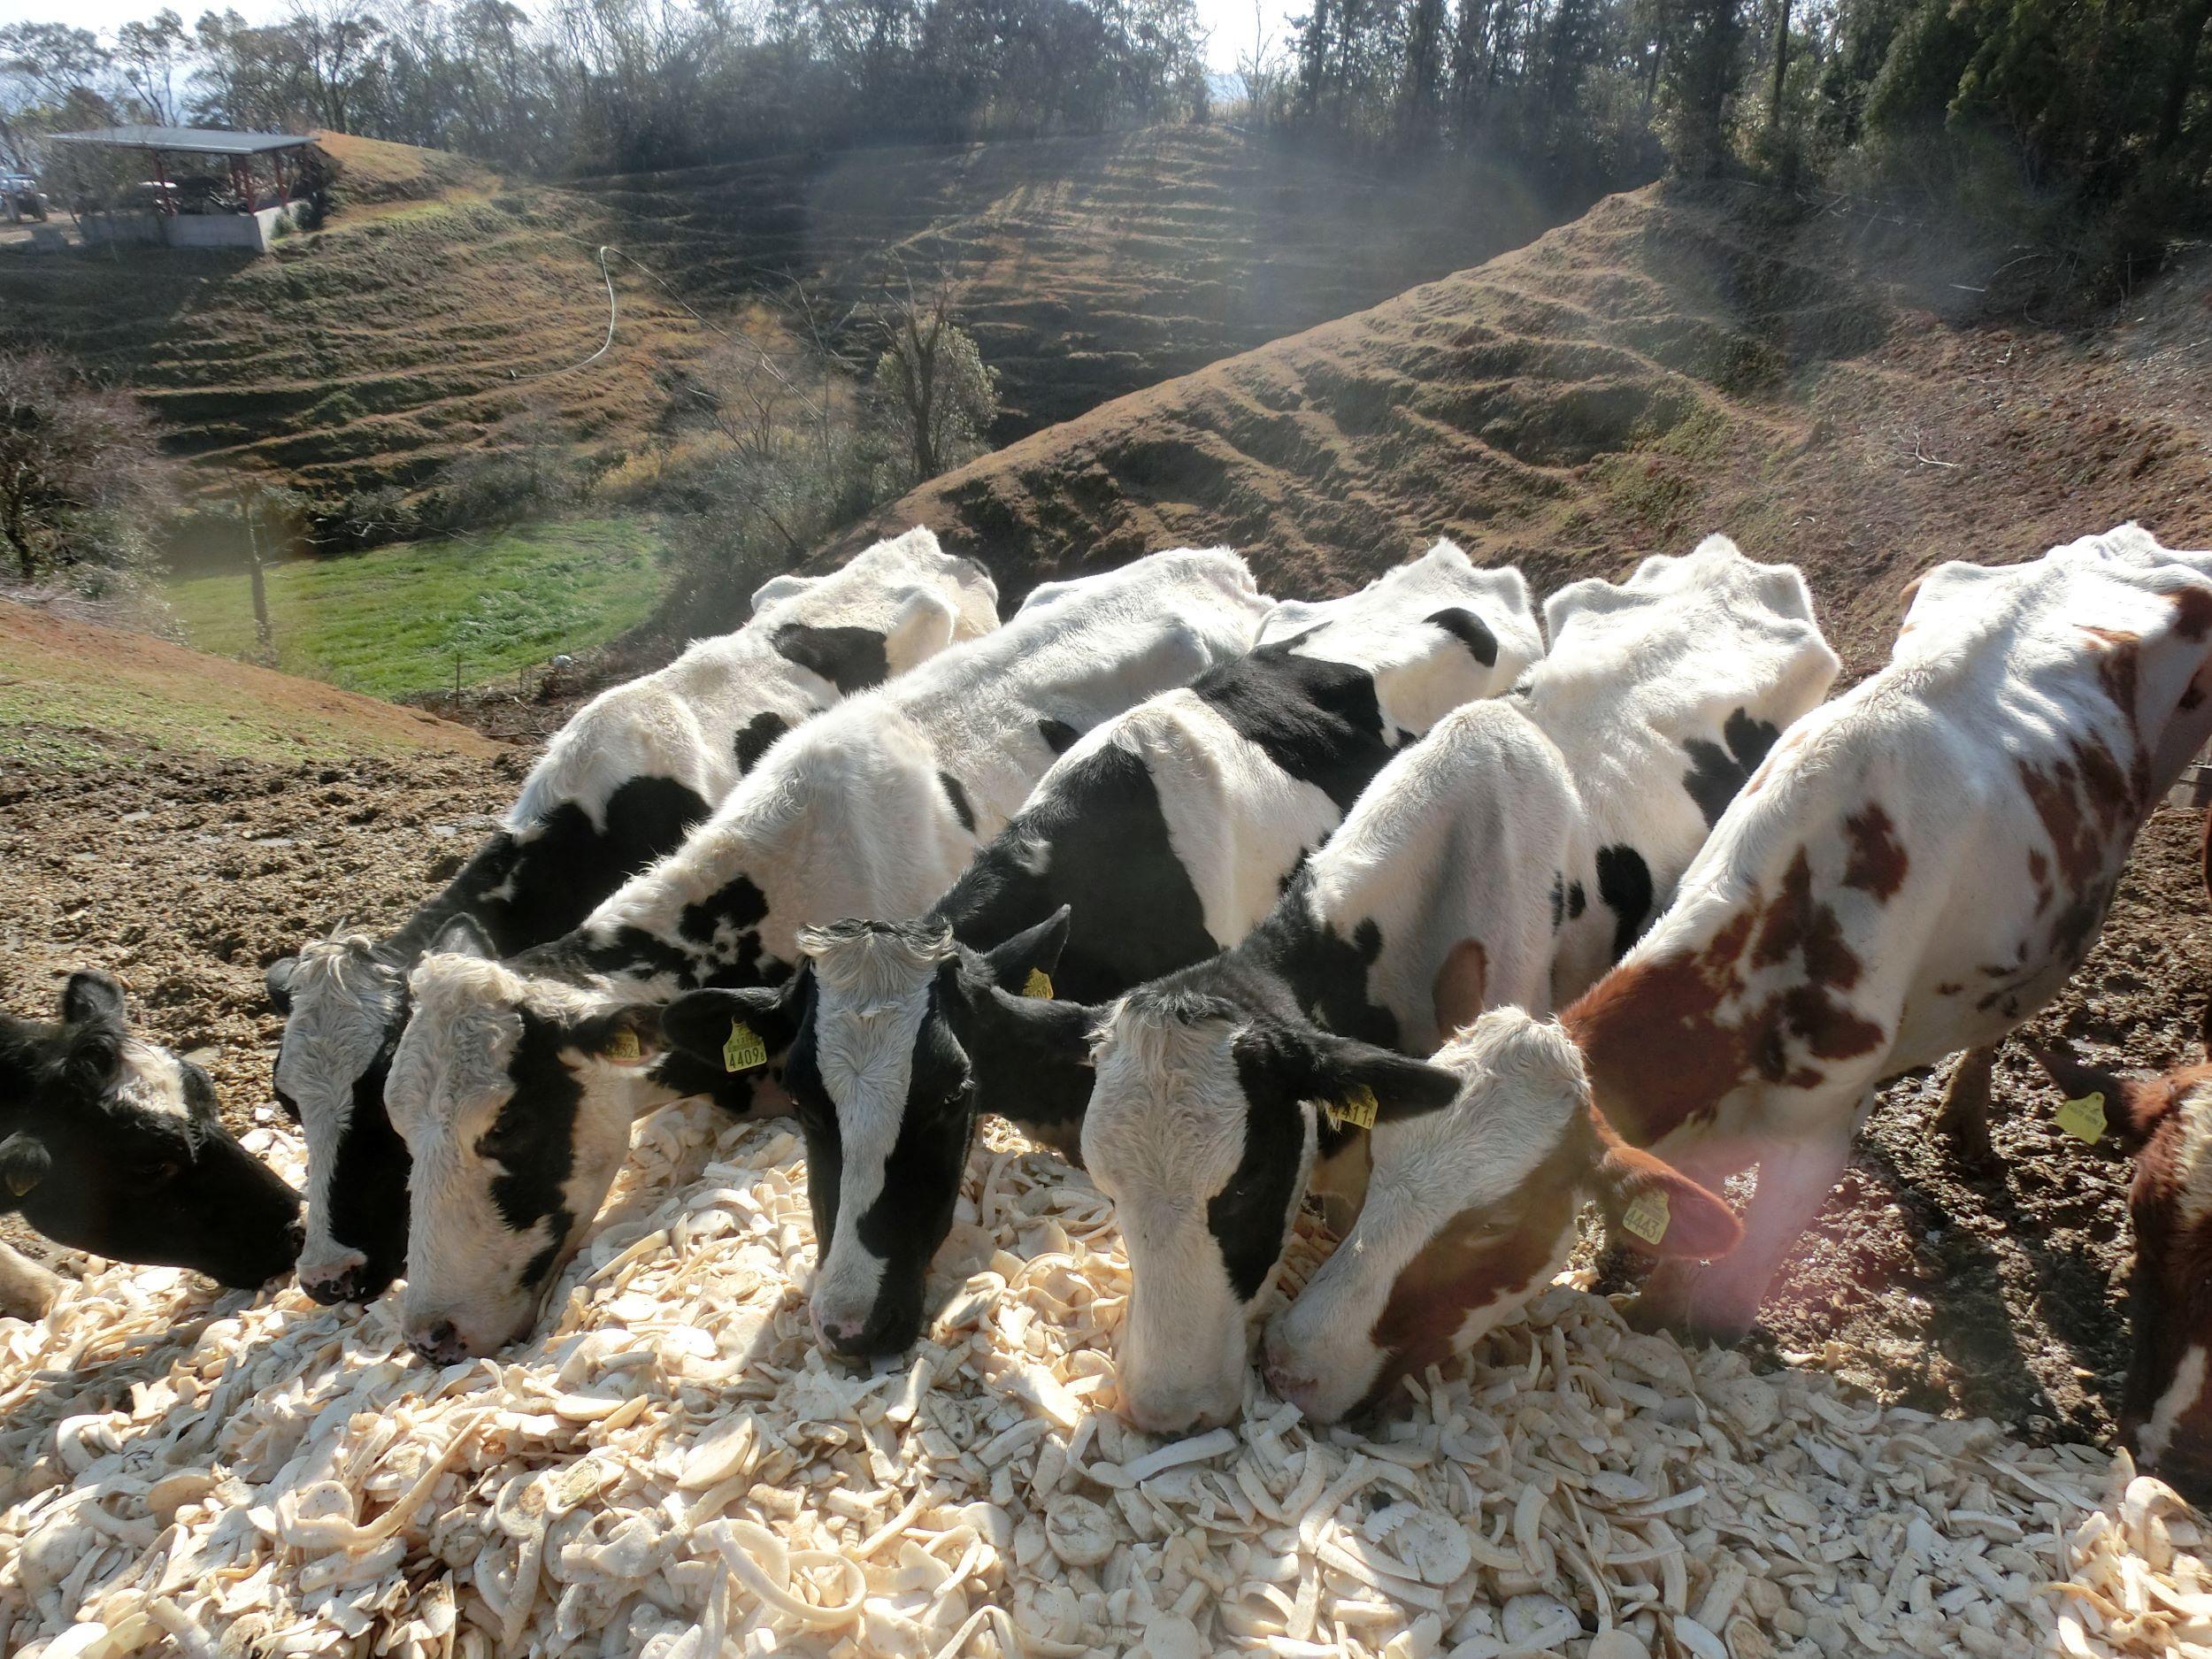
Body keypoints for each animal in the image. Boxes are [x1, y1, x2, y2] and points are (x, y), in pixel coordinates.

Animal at [1265, 526, 2212, 1425]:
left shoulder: (1815, 1142)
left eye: (1492, 1224)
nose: (1293, 1364)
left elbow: (1714, 1304)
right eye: (1380, 1158)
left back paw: (1967, 1117)